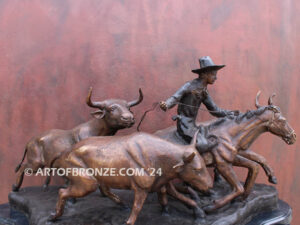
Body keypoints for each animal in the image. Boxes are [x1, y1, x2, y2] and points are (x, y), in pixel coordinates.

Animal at [12, 88, 142, 192]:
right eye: (112, 108)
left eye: (128, 107)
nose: (129, 118)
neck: (98, 132)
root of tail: (30, 142)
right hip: (35, 163)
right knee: (23, 167)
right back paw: (15, 187)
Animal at [48, 131, 213, 224]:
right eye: (196, 169)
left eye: (204, 166)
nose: (210, 186)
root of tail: (63, 153)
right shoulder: (141, 188)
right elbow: (137, 208)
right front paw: (128, 221)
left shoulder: (163, 184)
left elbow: (184, 198)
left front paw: (199, 213)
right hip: (87, 182)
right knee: (62, 192)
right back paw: (53, 216)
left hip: (99, 178)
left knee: (105, 190)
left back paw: (122, 204)